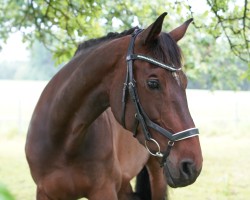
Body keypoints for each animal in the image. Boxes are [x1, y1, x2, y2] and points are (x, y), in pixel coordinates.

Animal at [24, 12, 203, 200]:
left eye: (185, 82)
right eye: (153, 83)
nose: (192, 165)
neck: (63, 142)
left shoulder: (104, 190)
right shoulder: (44, 193)